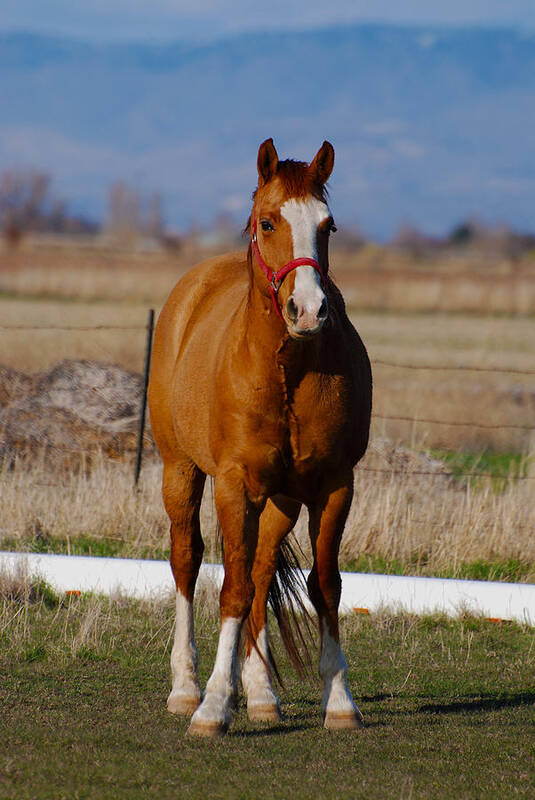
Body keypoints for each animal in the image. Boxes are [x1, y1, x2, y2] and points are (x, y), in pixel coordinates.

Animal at [147, 138, 372, 736]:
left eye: (328, 225)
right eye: (268, 222)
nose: (309, 310)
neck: (287, 369)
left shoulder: (334, 487)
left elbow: (325, 584)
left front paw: (338, 700)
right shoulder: (233, 485)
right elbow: (232, 587)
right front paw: (211, 706)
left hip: (282, 500)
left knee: (263, 565)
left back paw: (261, 693)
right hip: (180, 471)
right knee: (188, 561)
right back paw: (186, 687)